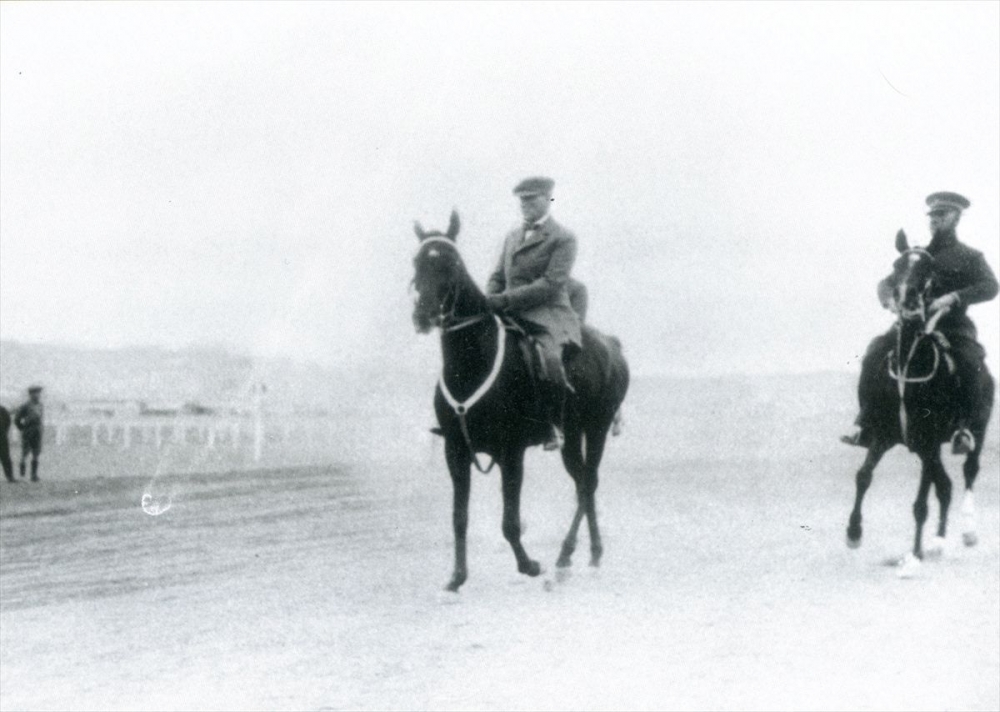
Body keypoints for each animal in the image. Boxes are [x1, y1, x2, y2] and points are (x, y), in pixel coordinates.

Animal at [410, 210, 628, 588]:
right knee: (583, 482)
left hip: (596, 427)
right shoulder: (455, 450)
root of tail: (612, 345)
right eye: (417, 261)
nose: (424, 316)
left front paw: (529, 565)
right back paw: (590, 553)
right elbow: (459, 517)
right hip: (571, 435)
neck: (472, 365)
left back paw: (566, 555)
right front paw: (457, 577)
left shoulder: (511, 452)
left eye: (451, 263)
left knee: (588, 483)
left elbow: (510, 522)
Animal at [848, 231, 996, 576]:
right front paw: (854, 533)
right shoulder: (886, 435)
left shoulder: (928, 442)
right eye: (897, 266)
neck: (910, 365)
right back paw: (938, 542)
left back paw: (967, 531)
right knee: (945, 486)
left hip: (974, 431)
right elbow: (863, 476)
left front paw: (913, 558)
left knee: (968, 472)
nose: (908, 301)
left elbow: (920, 504)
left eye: (929, 269)